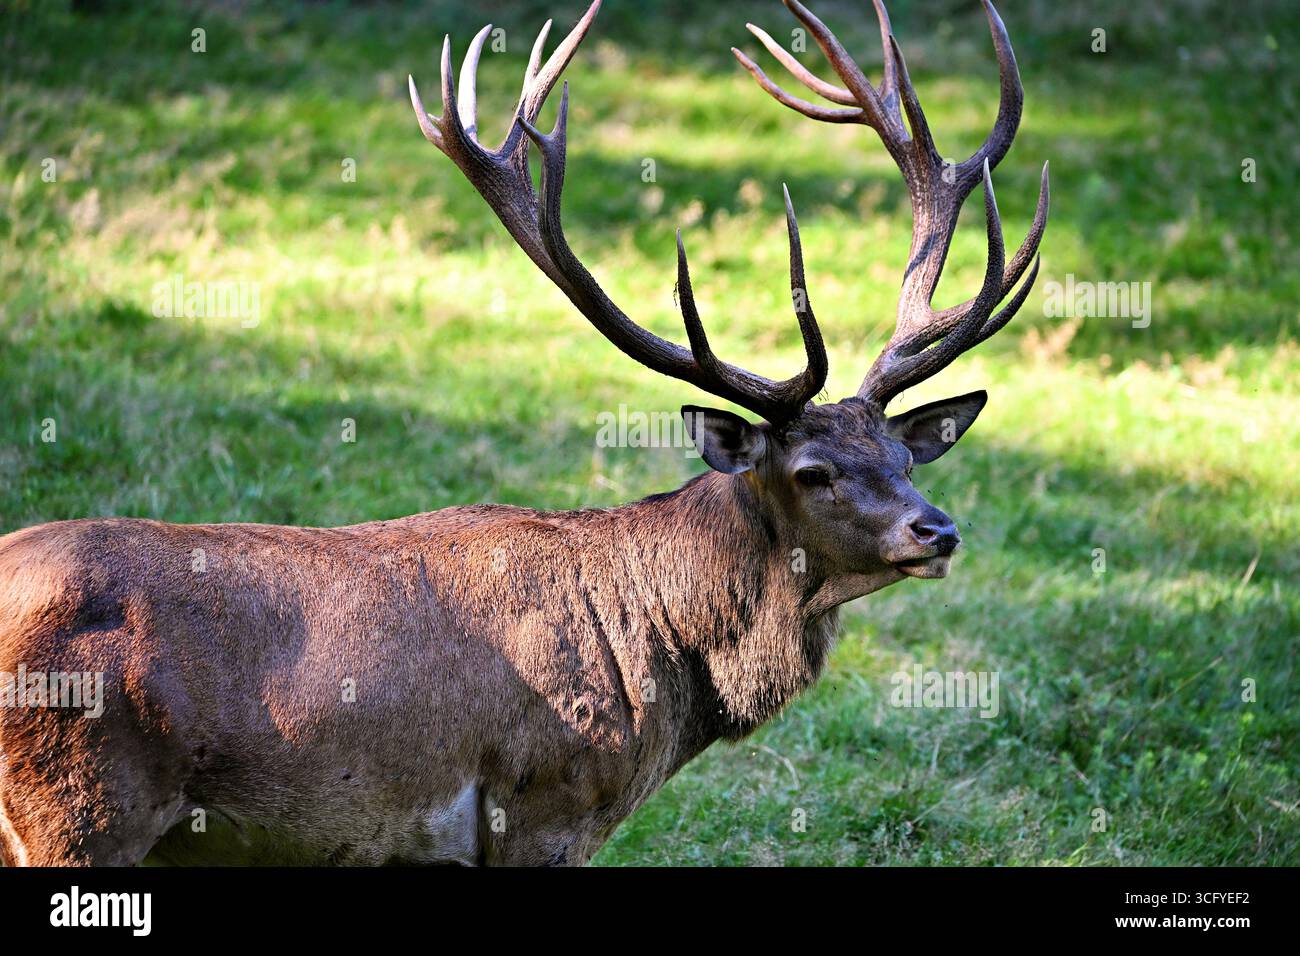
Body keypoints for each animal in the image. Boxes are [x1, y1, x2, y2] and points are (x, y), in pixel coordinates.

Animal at [0, 0, 1046, 866]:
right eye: (815, 470)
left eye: (905, 455)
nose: (937, 530)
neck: (661, 662)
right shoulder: (546, 802)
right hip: (81, 807)